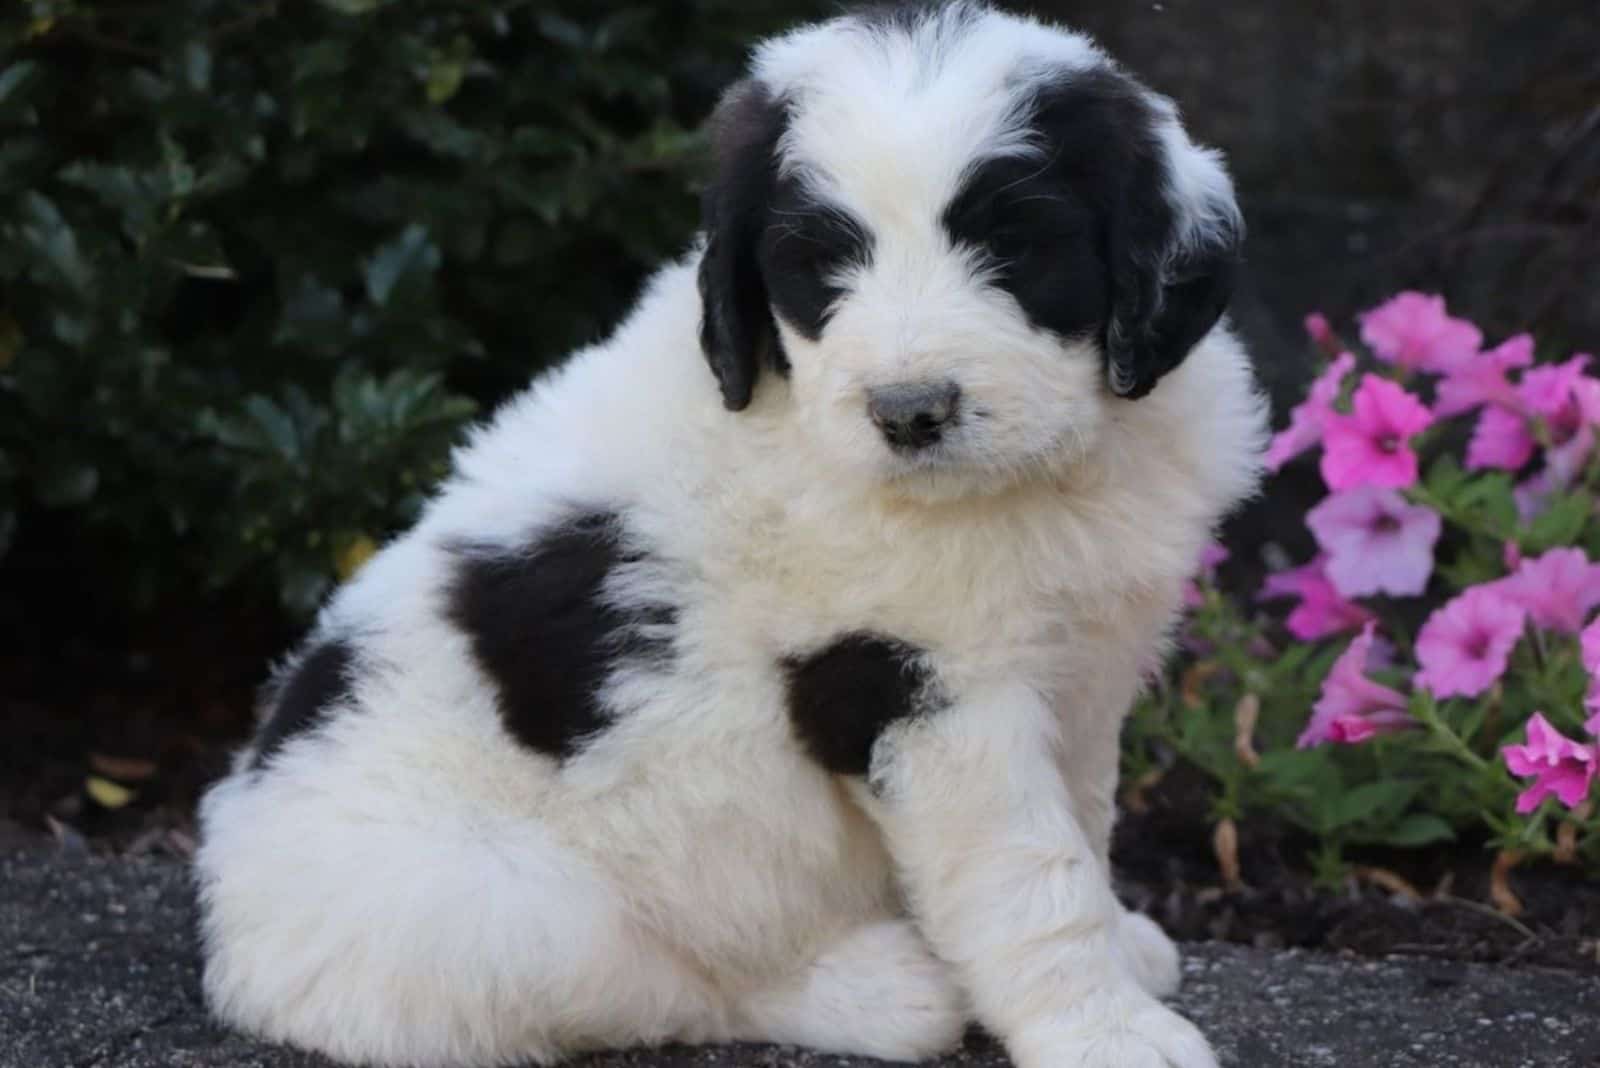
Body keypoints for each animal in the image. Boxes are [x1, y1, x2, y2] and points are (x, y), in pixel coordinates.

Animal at [200, 4, 1267, 1061]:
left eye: (1015, 247)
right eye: (823, 265)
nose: (910, 412)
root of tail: (232, 905)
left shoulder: (1083, 665)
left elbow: (1081, 815)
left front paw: (1119, 953)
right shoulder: (915, 681)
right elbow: (1026, 871)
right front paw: (1104, 1028)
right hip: (506, 912)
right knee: (667, 984)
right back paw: (886, 990)